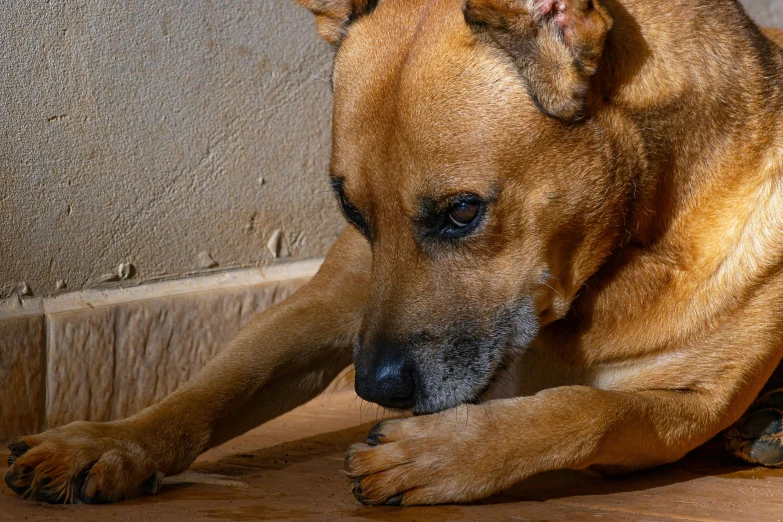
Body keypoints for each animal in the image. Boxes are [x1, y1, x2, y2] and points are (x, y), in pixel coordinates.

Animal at [4, 0, 783, 506]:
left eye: (462, 211)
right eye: (353, 211)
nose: (375, 388)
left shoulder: (686, 409)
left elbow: (581, 410)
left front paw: (440, 453)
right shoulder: (328, 306)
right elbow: (210, 387)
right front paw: (106, 442)